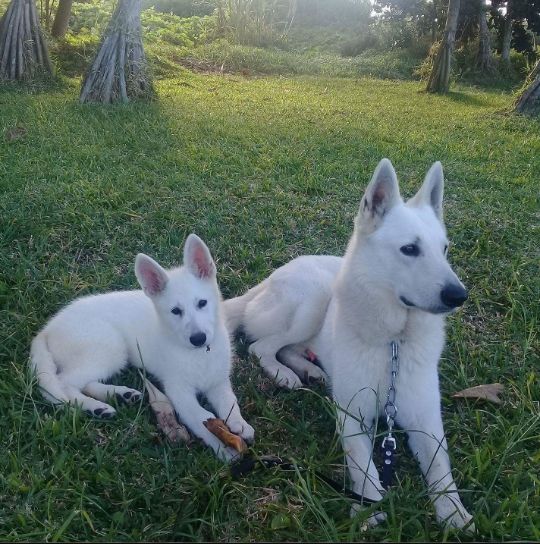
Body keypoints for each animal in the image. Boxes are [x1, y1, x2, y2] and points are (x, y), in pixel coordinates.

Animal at [30, 233, 254, 460]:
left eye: (202, 303)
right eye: (175, 311)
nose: (199, 338)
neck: (199, 355)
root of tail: (47, 329)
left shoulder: (218, 381)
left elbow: (229, 401)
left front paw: (239, 424)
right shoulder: (179, 392)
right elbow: (201, 419)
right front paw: (223, 449)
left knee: (83, 382)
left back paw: (118, 396)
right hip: (110, 347)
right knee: (62, 384)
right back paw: (94, 406)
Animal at [226, 159, 474, 528]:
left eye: (444, 249)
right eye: (410, 249)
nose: (459, 295)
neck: (393, 344)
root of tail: (269, 278)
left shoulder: (426, 420)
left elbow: (441, 469)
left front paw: (453, 511)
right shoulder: (353, 417)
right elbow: (362, 464)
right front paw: (369, 504)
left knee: (289, 348)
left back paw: (310, 370)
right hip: (314, 298)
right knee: (262, 347)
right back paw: (285, 374)